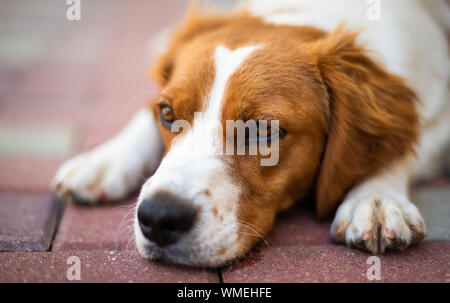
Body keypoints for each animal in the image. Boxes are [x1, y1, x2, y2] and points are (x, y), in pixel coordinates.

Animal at [53, 0, 450, 268]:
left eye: (261, 130)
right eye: (167, 114)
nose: (160, 217)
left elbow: (405, 148)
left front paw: (377, 198)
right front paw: (105, 158)